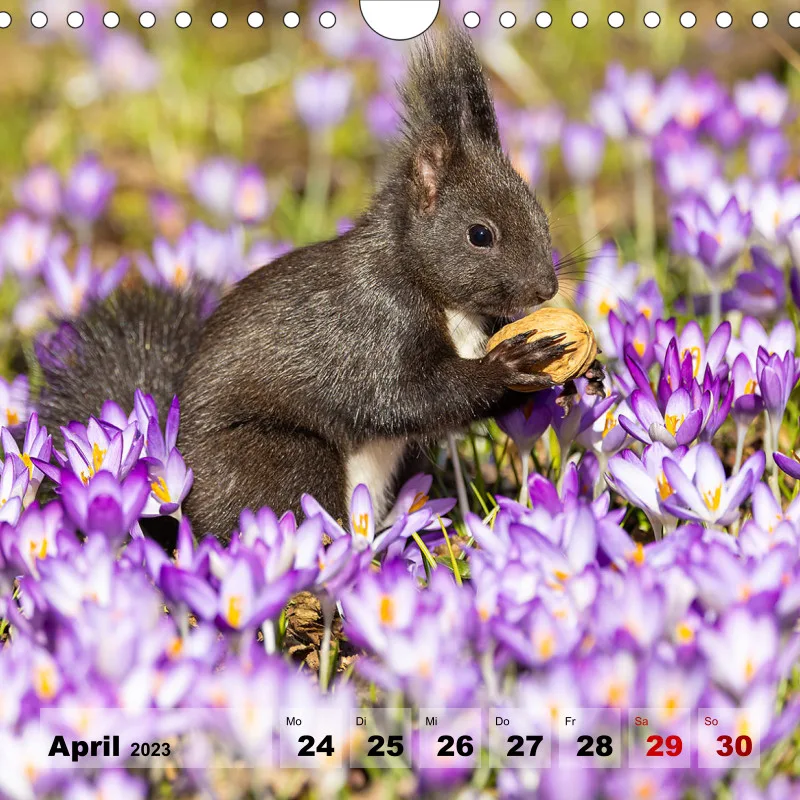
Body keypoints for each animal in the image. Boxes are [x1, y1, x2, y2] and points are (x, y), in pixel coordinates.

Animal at [35, 28, 604, 541]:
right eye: (480, 234)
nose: (544, 288)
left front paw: (581, 376)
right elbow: (402, 397)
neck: (436, 293)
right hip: (283, 460)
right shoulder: (373, 324)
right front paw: (509, 363)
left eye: (540, 213)